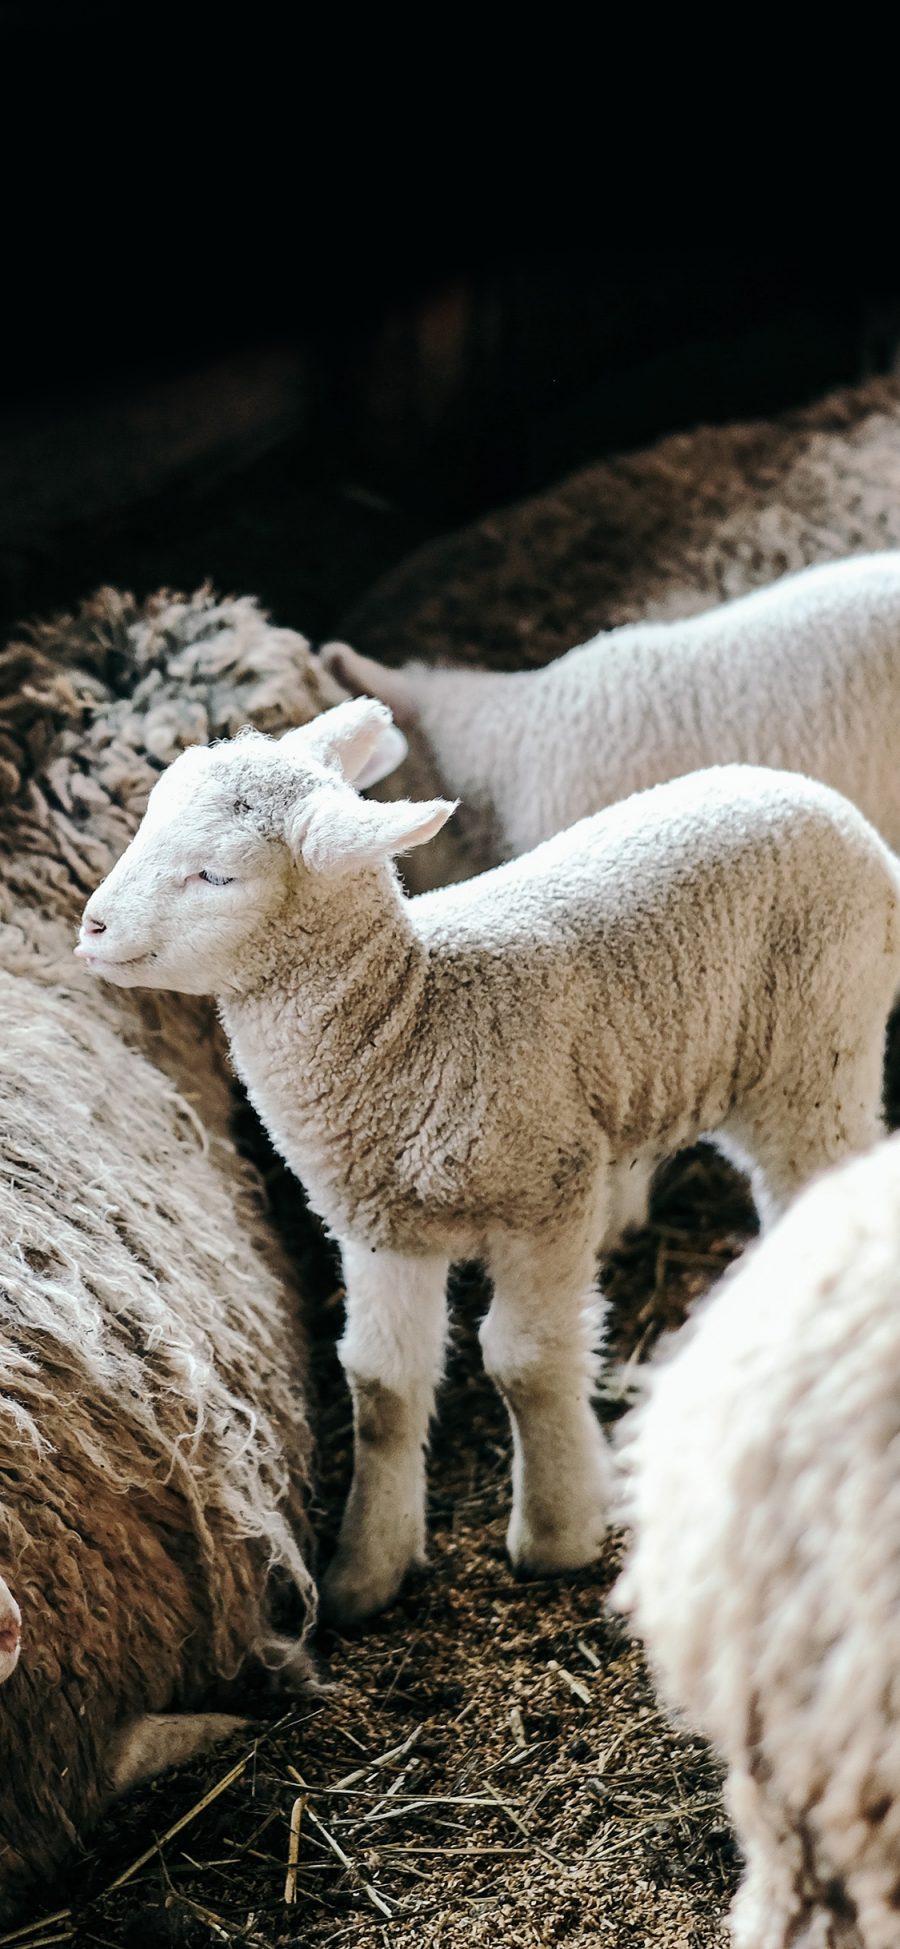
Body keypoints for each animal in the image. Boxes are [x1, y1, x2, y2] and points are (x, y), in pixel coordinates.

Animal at [74, 701, 900, 1629]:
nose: (92, 927)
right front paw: (366, 1568)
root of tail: (816, 798)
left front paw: (556, 1531)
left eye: (216, 876)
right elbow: (379, 1385)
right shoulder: (378, 1222)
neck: (413, 1017)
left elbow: (523, 1361)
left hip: (816, 1058)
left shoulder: (550, 1190)